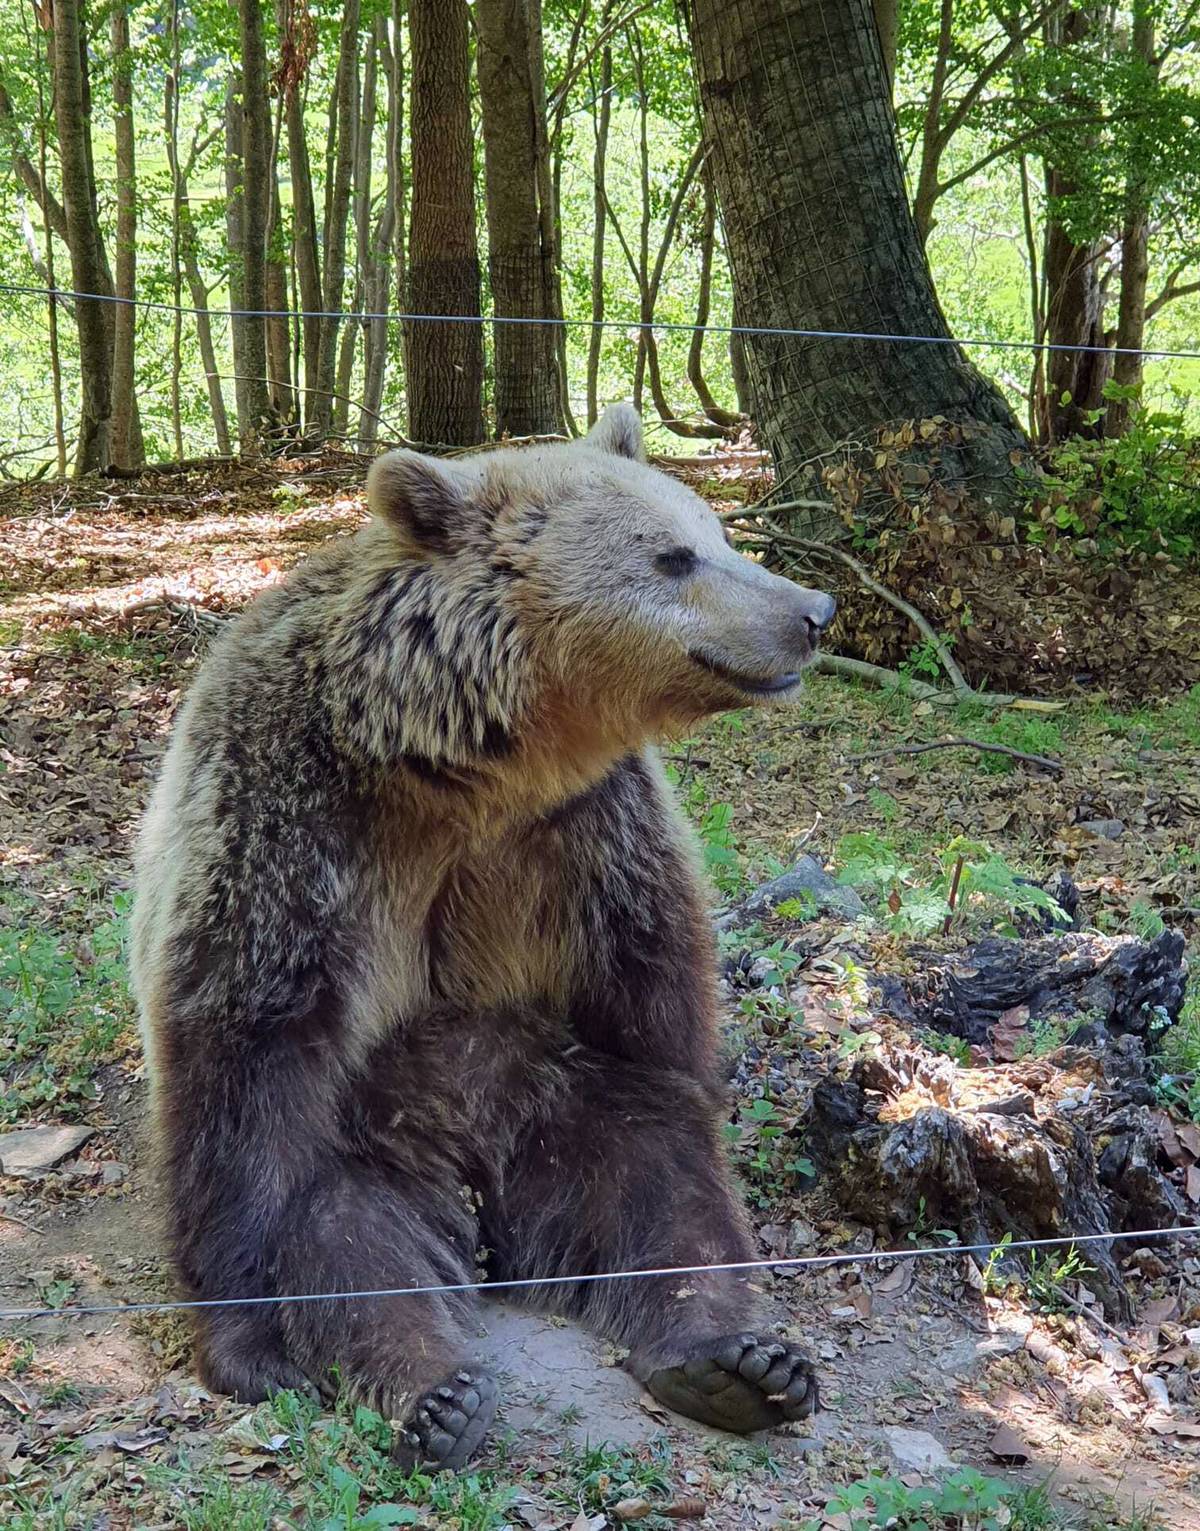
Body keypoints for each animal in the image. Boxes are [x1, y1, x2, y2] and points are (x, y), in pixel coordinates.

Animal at [130, 404, 836, 1470]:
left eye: (716, 532)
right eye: (673, 555)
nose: (813, 608)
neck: (461, 768)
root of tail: (472, 1181)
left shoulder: (587, 829)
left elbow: (658, 1009)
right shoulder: (294, 816)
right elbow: (242, 1051)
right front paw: (247, 1348)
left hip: (552, 1093)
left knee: (660, 1190)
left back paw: (736, 1359)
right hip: (370, 1125)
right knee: (347, 1237)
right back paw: (436, 1392)